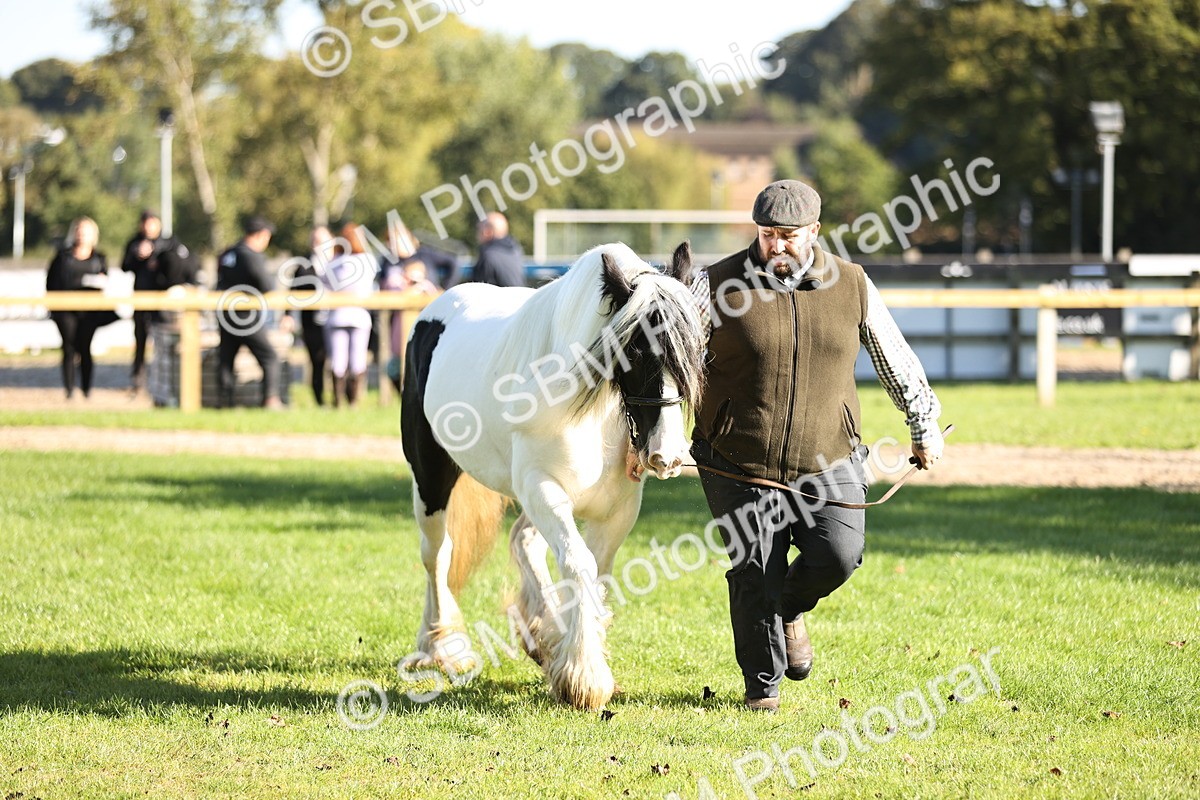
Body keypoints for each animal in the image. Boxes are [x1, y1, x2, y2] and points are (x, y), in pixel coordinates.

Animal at [399, 241, 705, 710]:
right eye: (636, 351)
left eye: (694, 349)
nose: (667, 455)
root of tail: (433, 311)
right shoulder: (541, 487)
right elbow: (579, 565)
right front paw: (584, 678)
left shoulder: (615, 509)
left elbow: (594, 573)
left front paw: (567, 653)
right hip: (432, 480)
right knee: (437, 555)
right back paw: (439, 647)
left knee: (521, 540)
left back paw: (541, 635)